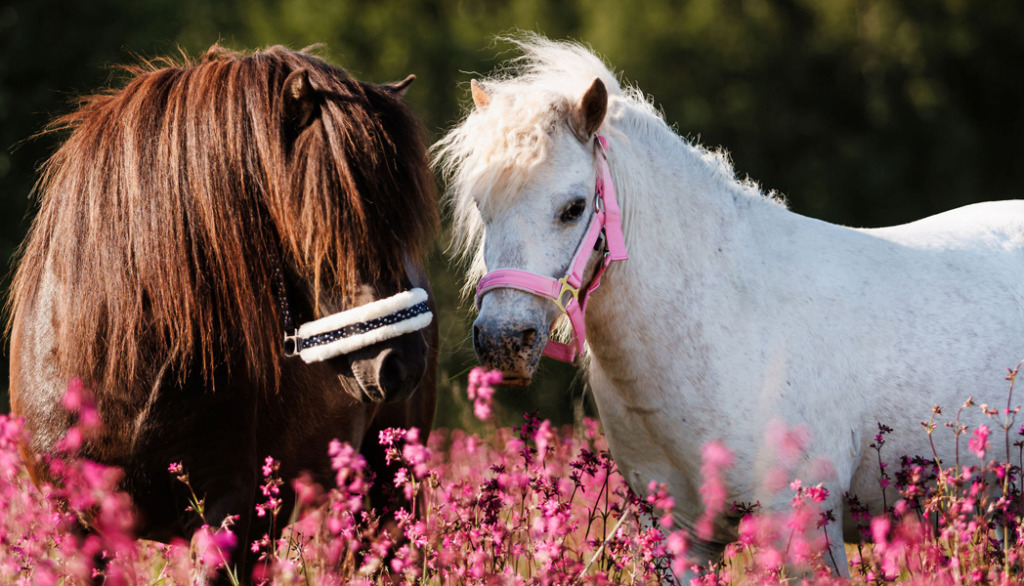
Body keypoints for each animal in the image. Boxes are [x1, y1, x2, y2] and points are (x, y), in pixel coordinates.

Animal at [436, 36, 1024, 577]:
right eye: (482, 206)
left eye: (573, 207)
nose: (503, 342)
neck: (721, 322)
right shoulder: (678, 537)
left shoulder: (806, 531)